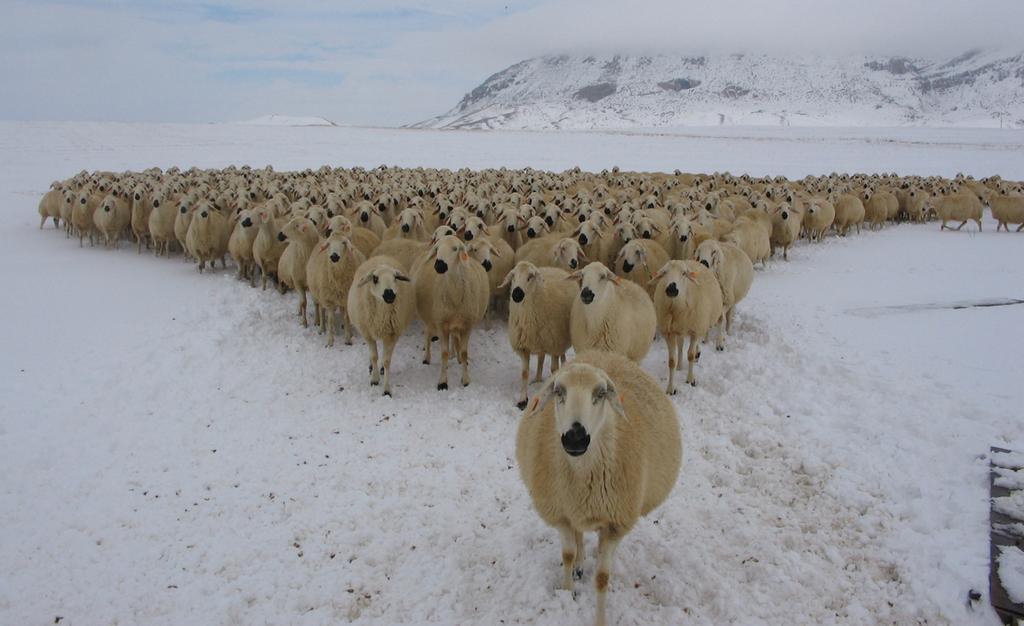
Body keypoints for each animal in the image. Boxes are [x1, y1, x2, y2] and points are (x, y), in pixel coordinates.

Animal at [346, 256, 413, 397]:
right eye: (375, 278)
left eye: (395, 277)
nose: (389, 294)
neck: (382, 316)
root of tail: (381, 257)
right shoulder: (367, 334)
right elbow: (373, 356)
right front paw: (375, 380)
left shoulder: (391, 335)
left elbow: (387, 361)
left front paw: (386, 389)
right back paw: (372, 367)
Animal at [415, 235, 491, 389]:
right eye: (437, 248)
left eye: (455, 248)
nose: (439, 265)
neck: (455, 293)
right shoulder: (441, 324)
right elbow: (444, 353)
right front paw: (443, 382)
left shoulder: (467, 325)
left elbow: (464, 352)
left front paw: (465, 379)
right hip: (430, 318)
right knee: (428, 334)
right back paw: (427, 358)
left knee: (456, 339)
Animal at [501, 262, 581, 409]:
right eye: (513, 276)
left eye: (530, 276)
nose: (516, 293)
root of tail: (555, 268)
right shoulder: (524, 347)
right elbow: (524, 373)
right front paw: (522, 400)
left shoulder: (554, 343)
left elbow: (554, 369)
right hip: (541, 341)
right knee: (541, 358)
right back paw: (537, 380)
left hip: (559, 340)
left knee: (561, 356)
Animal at [520, 350, 679, 626]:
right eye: (559, 391)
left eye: (601, 393)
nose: (575, 437)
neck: (583, 476)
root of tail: (599, 353)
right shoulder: (561, 512)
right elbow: (567, 554)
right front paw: (568, 591)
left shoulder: (615, 524)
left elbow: (602, 578)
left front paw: (600, 618)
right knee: (578, 536)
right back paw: (580, 564)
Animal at [651, 259, 724, 391]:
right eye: (664, 272)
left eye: (684, 273)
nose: (671, 288)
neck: (675, 308)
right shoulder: (669, 333)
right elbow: (671, 361)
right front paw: (671, 388)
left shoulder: (695, 330)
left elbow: (690, 355)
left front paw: (690, 380)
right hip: (685, 327)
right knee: (681, 344)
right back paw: (683, 363)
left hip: (714, 311)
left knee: (721, 320)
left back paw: (719, 344)